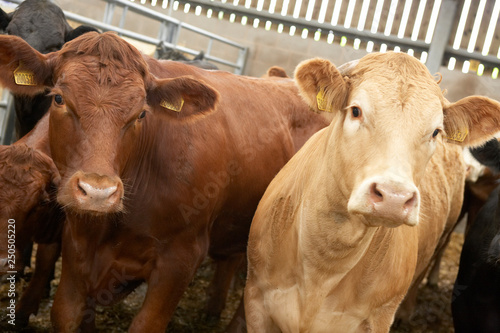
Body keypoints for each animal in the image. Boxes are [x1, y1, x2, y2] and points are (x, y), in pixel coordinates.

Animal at [0, 31, 328, 332]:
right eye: (58, 98)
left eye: (141, 114)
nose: (98, 193)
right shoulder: (77, 242)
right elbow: (66, 313)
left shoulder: (181, 258)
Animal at [244, 52, 500, 332]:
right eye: (356, 111)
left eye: (435, 131)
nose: (394, 197)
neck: (323, 262)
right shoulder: (256, 299)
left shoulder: (379, 317)